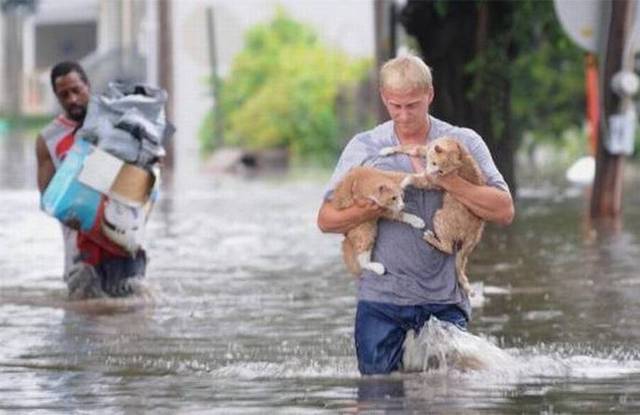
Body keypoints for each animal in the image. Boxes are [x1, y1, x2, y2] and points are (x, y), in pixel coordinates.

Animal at [380, 137, 484, 296]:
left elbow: (413, 178)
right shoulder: (424, 149)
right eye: (434, 164)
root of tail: (474, 231)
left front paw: (405, 181)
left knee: (447, 248)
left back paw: (430, 238)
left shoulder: (434, 182)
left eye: (441, 170)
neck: (455, 147)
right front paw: (387, 150)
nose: (430, 173)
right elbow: (409, 147)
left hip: (439, 216)